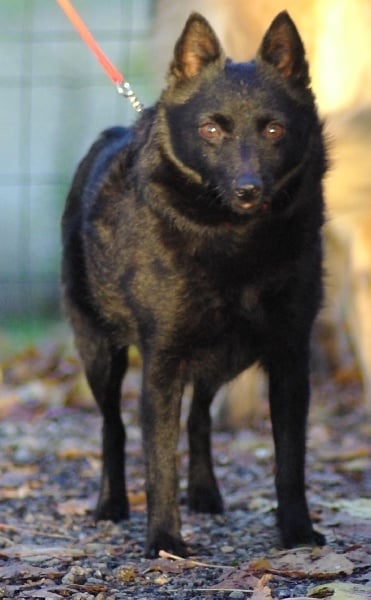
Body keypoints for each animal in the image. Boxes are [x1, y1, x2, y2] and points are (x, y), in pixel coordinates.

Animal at [62, 11, 326, 556]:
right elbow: (159, 460)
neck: (235, 242)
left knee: (199, 417)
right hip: (100, 349)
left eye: (274, 129)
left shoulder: (291, 355)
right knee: (113, 426)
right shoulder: (162, 359)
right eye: (210, 129)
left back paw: (204, 492)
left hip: (213, 359)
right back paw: (110, 504)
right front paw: (164, 539)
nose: (249, 190)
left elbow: (291, 459)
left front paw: (296, 532)